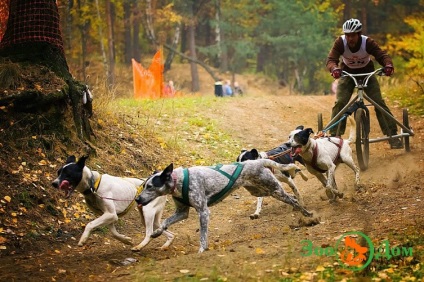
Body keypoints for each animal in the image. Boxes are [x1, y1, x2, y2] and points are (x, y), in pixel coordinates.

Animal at [134, 159, 314, 253]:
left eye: (150, 186)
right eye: (144, 185)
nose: (137, 199)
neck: (179, 180)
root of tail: (257, 160)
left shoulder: (203, 212)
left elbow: (203, 236)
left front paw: (201, 251)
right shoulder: (182, 212)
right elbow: (165, 222)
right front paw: (156, 232)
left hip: (273, 189)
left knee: (293, 199)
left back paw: (308, 215)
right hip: (261, 191)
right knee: (291, 197)